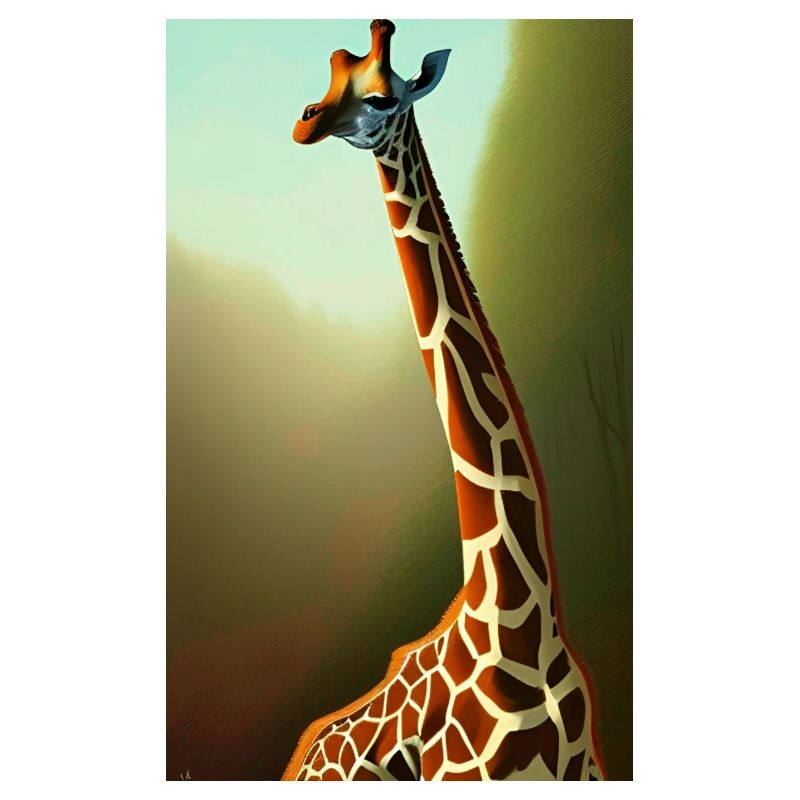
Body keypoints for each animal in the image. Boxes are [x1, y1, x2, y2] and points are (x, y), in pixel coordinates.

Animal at [282, 20, 606, 781]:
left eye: (379, 95)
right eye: (331, 79)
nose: (304, 123)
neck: (524, 625)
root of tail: (302, 757)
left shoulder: (589, 764)